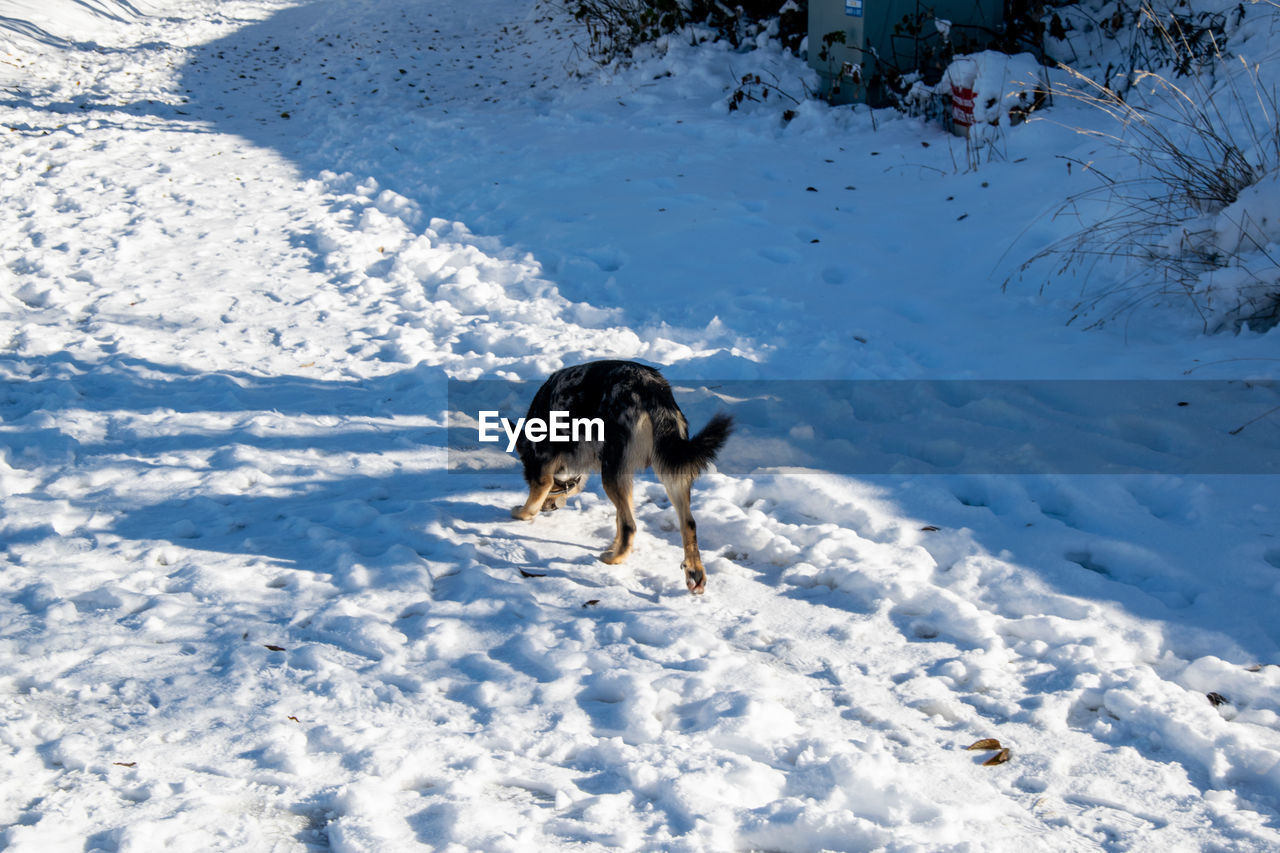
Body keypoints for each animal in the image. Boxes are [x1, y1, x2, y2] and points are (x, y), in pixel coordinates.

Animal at [506, 358, 732, 591]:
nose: (549, 508)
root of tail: (651, 388)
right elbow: (619, 518)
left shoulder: (542, 467)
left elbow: (533, 499)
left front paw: (521, 512)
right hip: (670, 472)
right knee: (687, 524)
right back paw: (694, 572)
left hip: (612, 474)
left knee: (630, 525)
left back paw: (613, 559)